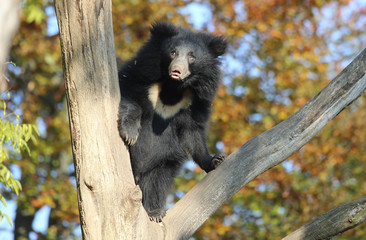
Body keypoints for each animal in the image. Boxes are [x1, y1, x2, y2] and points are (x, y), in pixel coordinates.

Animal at [118, 22, 226, 223]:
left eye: (191, 57)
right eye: (173, 52)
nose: (177, 70)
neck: (173, 87)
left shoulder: (196, 101)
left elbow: (194, 133)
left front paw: (215, 160)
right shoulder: (141, 73)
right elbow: (129, 95)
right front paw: (130, 134)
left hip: (162, 161)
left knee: (157, 182)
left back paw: (154, 212)